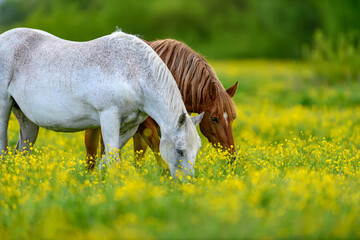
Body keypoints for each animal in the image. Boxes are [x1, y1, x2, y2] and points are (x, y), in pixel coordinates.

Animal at [0, 28, 202, 177]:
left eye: (197, 149)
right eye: (180, 151)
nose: (187, 184)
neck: (132, 72)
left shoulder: (130, 126)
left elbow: (106, 160)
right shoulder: (109, 117)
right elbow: (113, 161)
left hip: (27, 121)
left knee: (22, 154)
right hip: (4, 108)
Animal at [83, 39, 236, 169]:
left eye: (233, 118)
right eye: (214, 118)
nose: (232, 156)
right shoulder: (147, 127)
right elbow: (161, 156)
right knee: (91, 157)